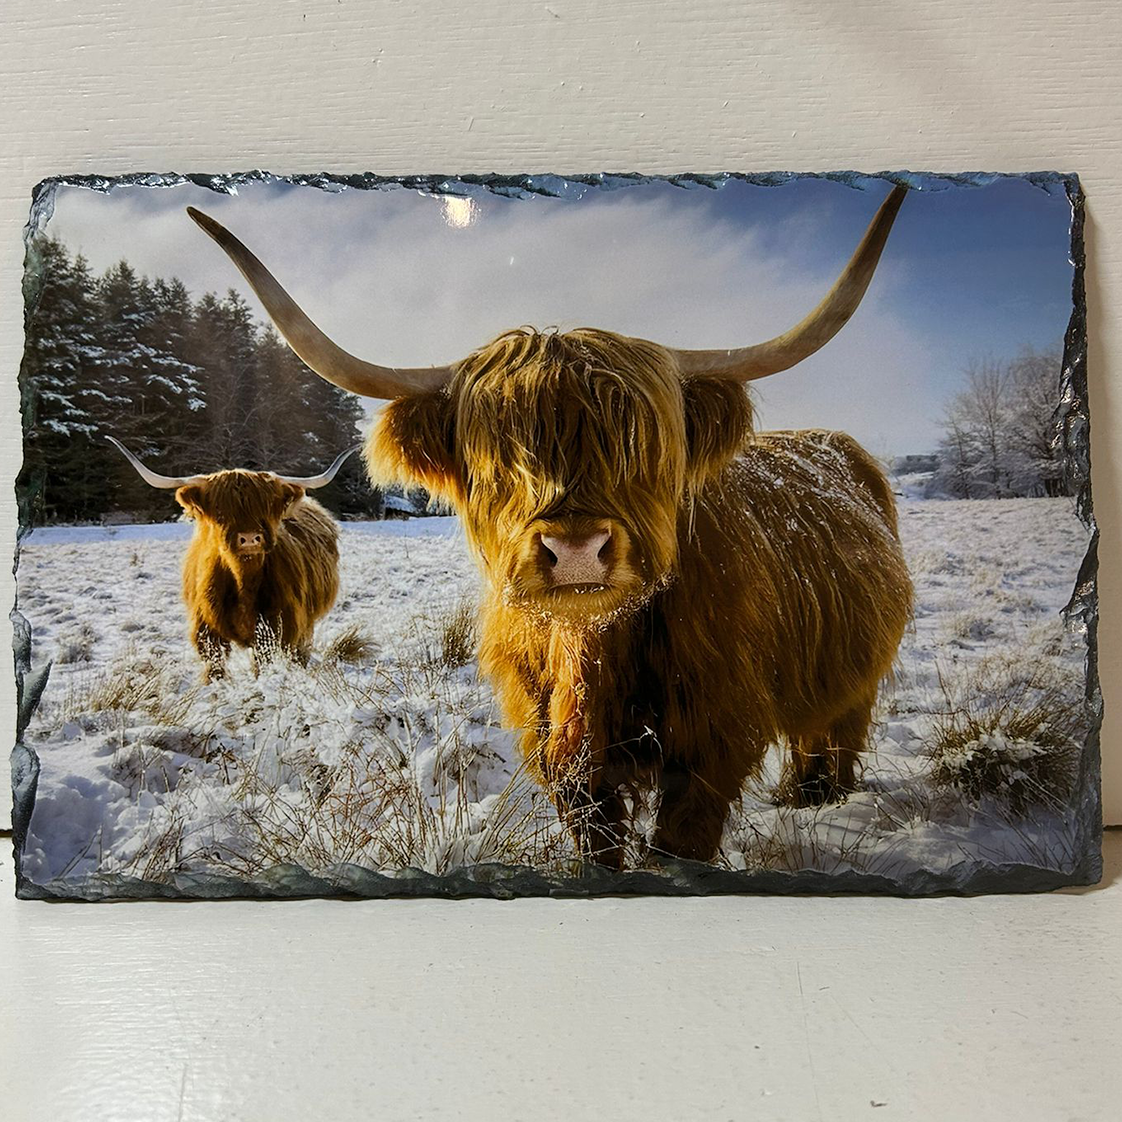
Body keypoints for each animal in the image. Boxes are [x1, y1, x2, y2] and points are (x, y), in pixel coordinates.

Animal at [108, 437, 357, 680]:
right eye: (221, 510)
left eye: (266, 506)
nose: (250, 539)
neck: (243, 582)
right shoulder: (206, 630)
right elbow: (215, 667)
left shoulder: (279, 626)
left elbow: (264, 663)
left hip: (307, 623)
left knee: (301, 651)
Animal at [186, 186, 914, 867]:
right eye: (498, 457)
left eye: (641, 446)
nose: (577, 549)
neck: (590, 654)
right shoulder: (564, 757)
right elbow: (597, 843)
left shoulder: (714, 738)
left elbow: (680, 844)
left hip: (856, 669)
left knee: (838, 722)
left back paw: (818, 795)